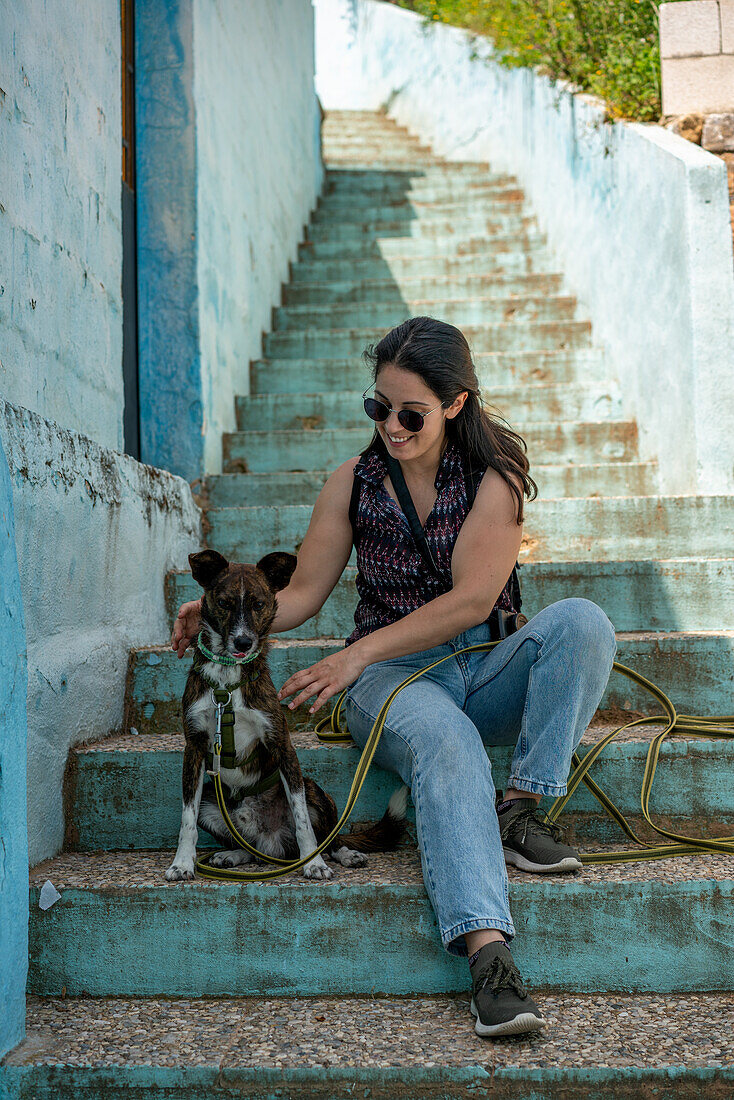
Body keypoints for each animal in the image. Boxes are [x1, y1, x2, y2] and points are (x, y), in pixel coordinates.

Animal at [163, 550, 411, 884]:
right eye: (225, 603)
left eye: (258, 604)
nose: (243, 642)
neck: (227, 680)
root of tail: (272, 840)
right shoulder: (195, 749)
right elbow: (186, 819)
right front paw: (182, 863)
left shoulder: (283, 746)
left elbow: (302, 819)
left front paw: (314, 863)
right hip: (212, 804)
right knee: (250, 849)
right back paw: (232, 854)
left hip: (316, 791)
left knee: (329, 837)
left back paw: (344, 854)